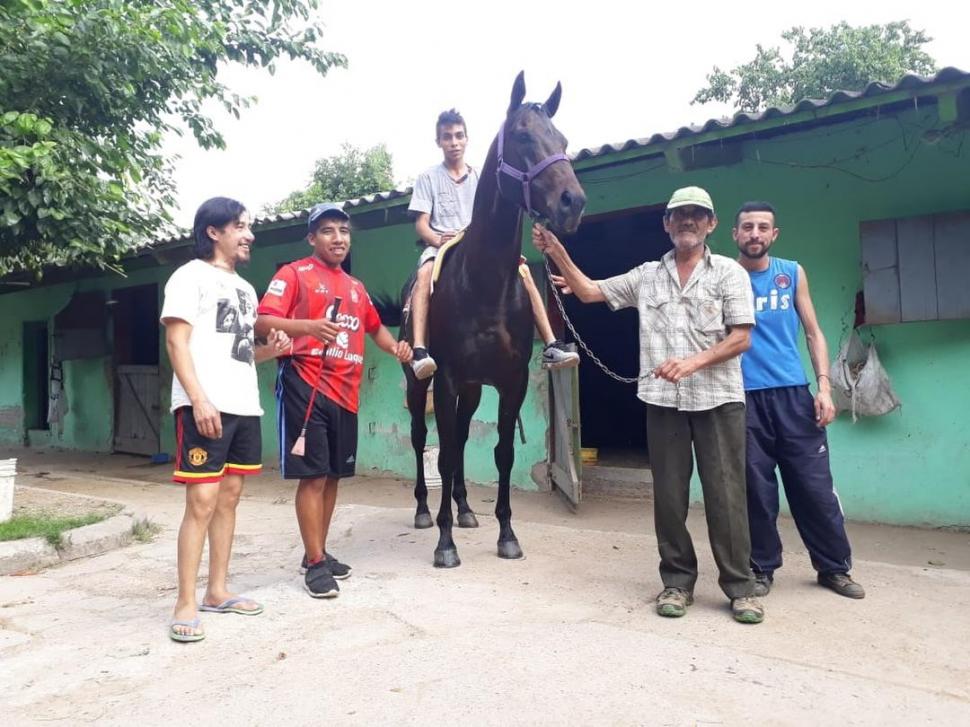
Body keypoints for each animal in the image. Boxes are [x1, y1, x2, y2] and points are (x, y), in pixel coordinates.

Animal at [396, 74, 584, 564]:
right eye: (522, 136)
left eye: (562, 140)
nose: (572, 202)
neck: (484, 283)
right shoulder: (444, 381)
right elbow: (441, 455)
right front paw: (445, 544)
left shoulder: (509, 381)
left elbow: (501, 454)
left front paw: (506, 534)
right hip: (419, 384)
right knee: (421, 437)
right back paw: (424, 511)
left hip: (473, 388)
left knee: (461, 437)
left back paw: (464, 510)